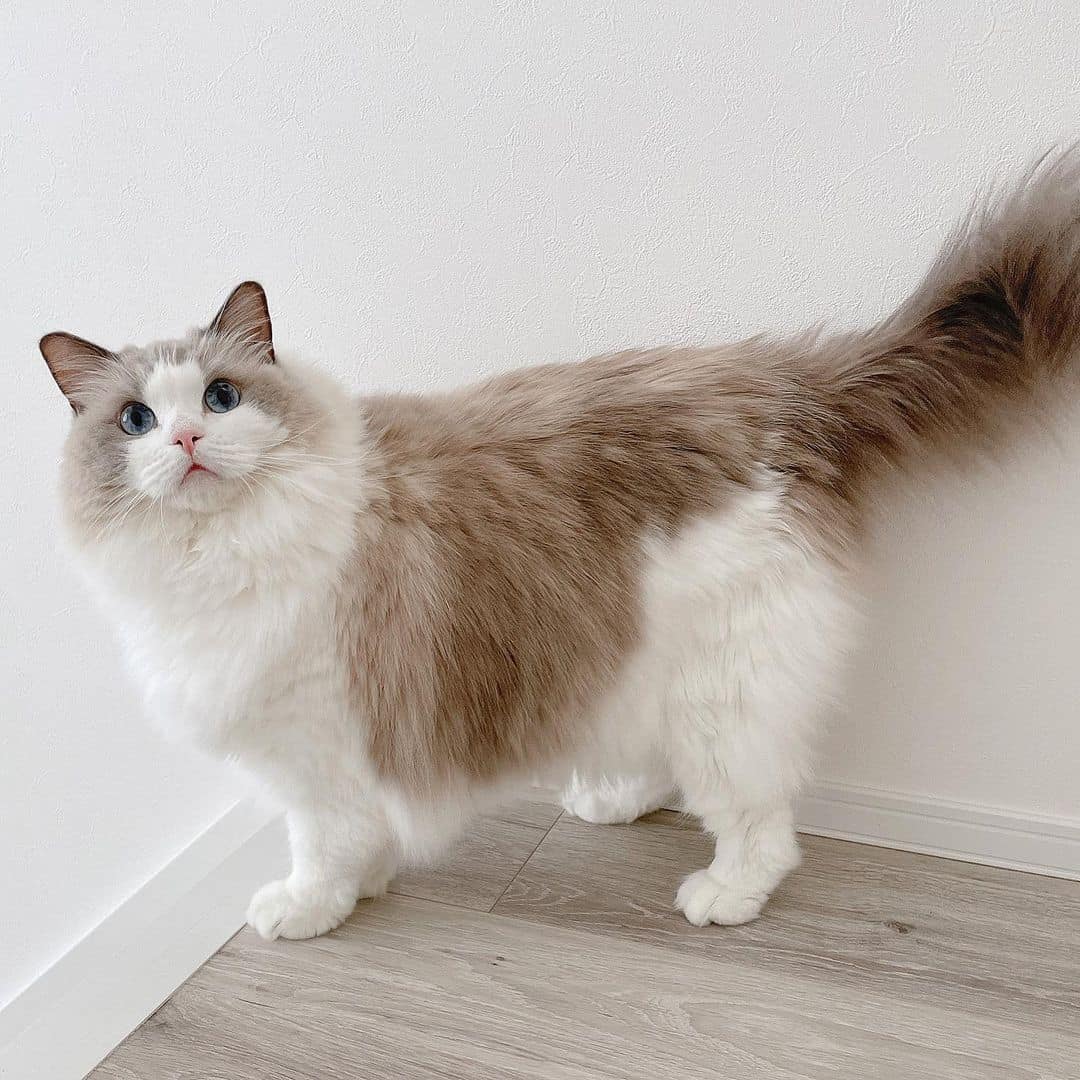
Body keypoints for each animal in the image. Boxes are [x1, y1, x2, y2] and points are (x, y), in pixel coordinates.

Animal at [46, 152, 1080, 937]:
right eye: (137, 420)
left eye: (220, 398)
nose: (185, 441)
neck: (217, 551)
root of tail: (784, 383)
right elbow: (357, 839)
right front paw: (359, 887)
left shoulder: (320, 741)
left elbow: (324, 844)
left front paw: (307, 908)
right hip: (646, 650)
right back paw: (613, 798)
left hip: (723, 682)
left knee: (761, 821)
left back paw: (723, 895)